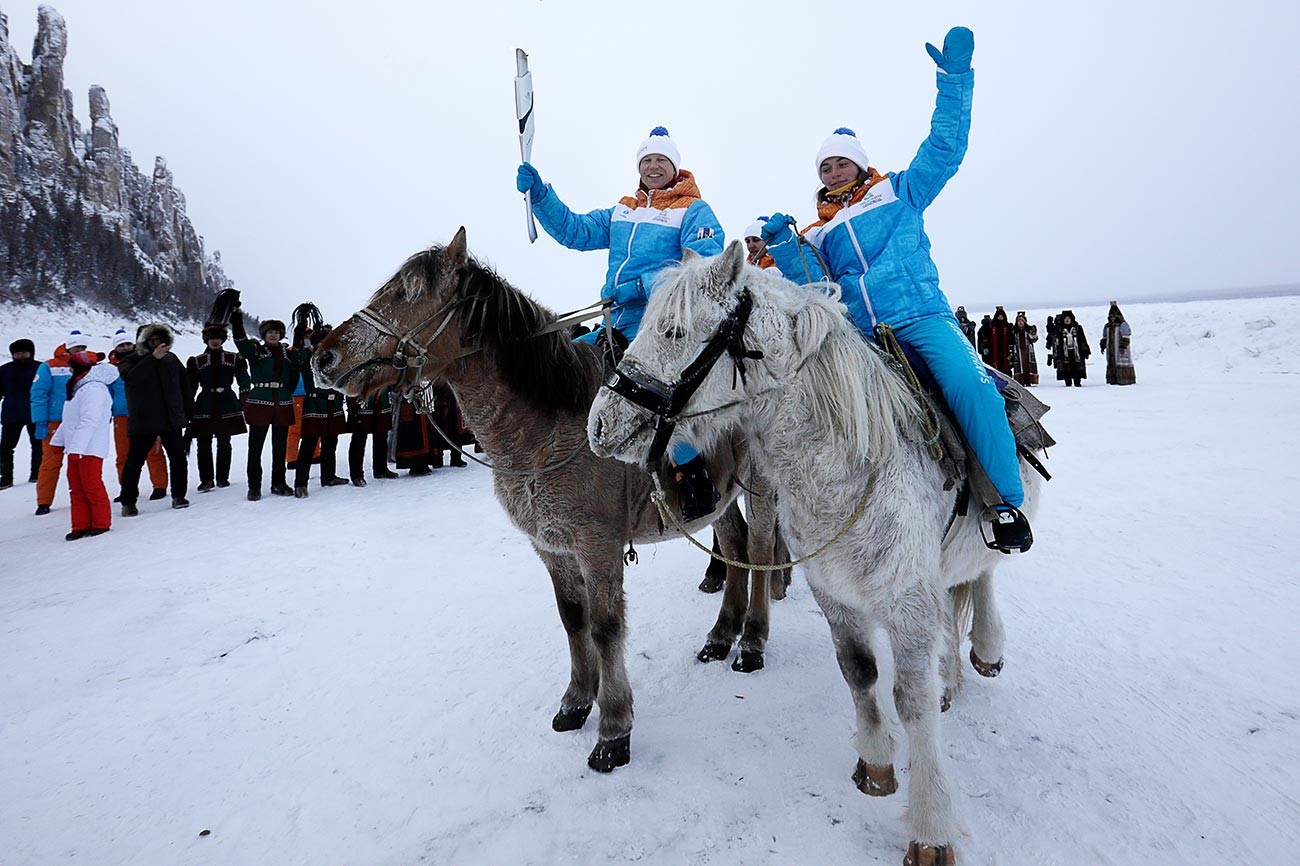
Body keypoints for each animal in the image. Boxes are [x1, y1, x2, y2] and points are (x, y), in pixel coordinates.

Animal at [314, 227, 780, 769]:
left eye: (406, 294)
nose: (322, 358)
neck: (550, 427)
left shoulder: (597, 547)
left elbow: (604, 628)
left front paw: (614, 730)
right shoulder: (550, 547)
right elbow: (573, 620)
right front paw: (577, 701)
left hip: (763, 487)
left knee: (759, 551)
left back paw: (751, 642)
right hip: (717, 500)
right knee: (734, 547)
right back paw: (722, 635)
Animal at [585, 239, 1040, 863]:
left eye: (674, 330)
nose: (598, 425)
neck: (850, 461)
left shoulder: (906, 601)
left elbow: (913, 700)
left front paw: (930, 830)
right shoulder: (835, 592)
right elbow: (860, 672)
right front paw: (876, 766)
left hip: (980, 540)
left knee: (984, 574)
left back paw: (987, 648)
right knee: (955, 598)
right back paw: (954, 679)